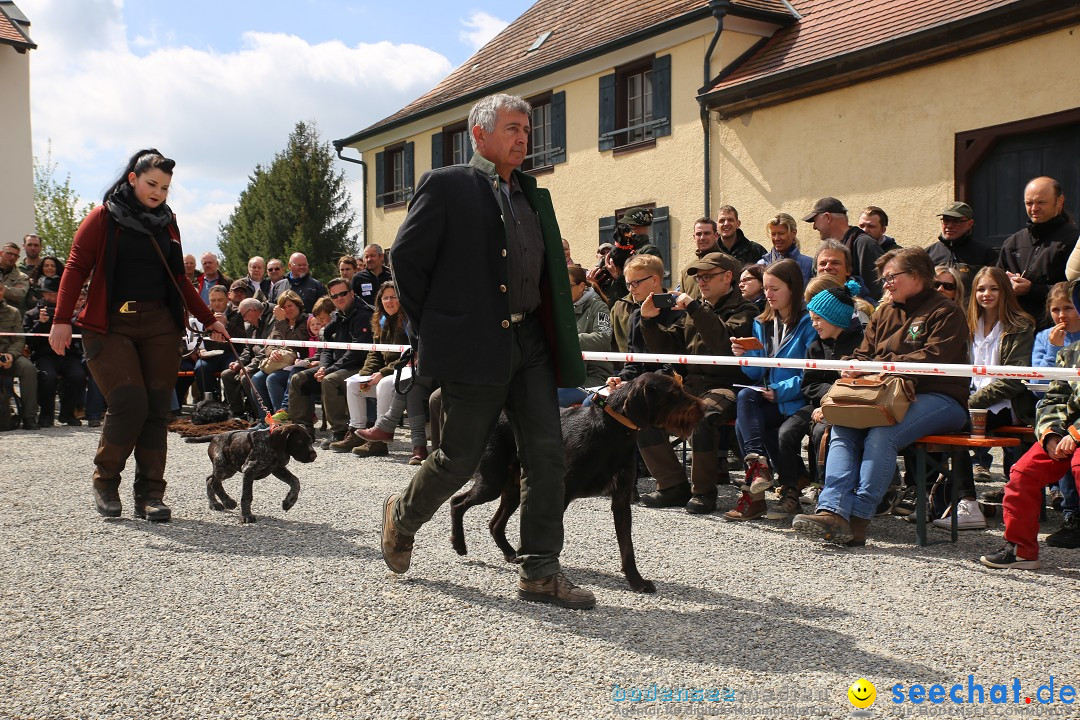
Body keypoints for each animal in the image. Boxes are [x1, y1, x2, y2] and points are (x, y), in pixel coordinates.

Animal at [186, 423, 315, 524]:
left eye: (310, 440)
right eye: (299, 441)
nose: (314, 456)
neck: (270, 445)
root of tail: (216, 436)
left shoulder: (278, 469)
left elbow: (295, 482)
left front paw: (289, 501)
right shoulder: (249, 470)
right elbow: (247, 496)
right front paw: (247, 516)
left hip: (229, 469)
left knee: (210, 479)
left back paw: (216, 503)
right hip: (222, 466)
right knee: (214, 482)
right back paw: (225, 502)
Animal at [444, 369, 704, 595]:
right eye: (673, 393)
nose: (703, 409)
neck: (612, 431)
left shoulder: (622, 500)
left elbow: (627, 548)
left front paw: (636, 581)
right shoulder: (561, 495)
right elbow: (553, 539)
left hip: (515, 487)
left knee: (494, 523)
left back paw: (510, 553)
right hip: (493, 481)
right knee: (457, 502)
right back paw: (459, 544)